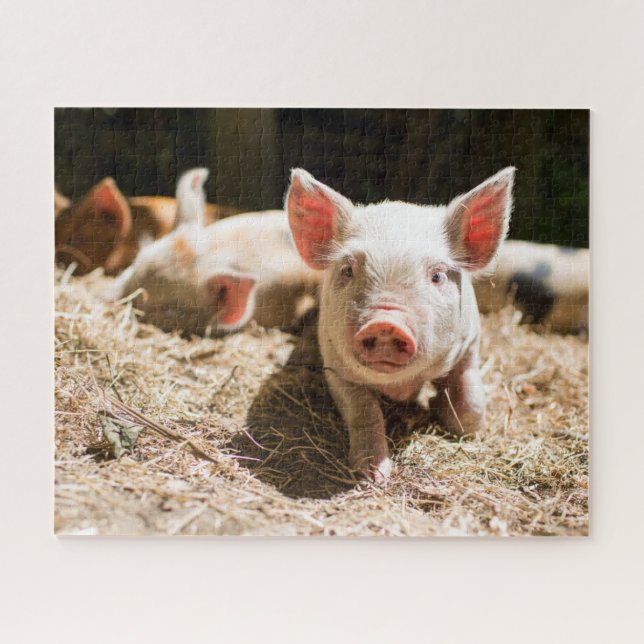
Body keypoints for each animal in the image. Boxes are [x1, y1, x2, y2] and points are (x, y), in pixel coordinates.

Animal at [285, 167, 516, 481]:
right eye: (348, 270)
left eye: (437, 276)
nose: (385, 323)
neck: (400, 386)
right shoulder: (335, 366)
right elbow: (364, 412)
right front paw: (372, 476)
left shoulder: (469, 345)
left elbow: (470, 403)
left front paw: (459, 426)